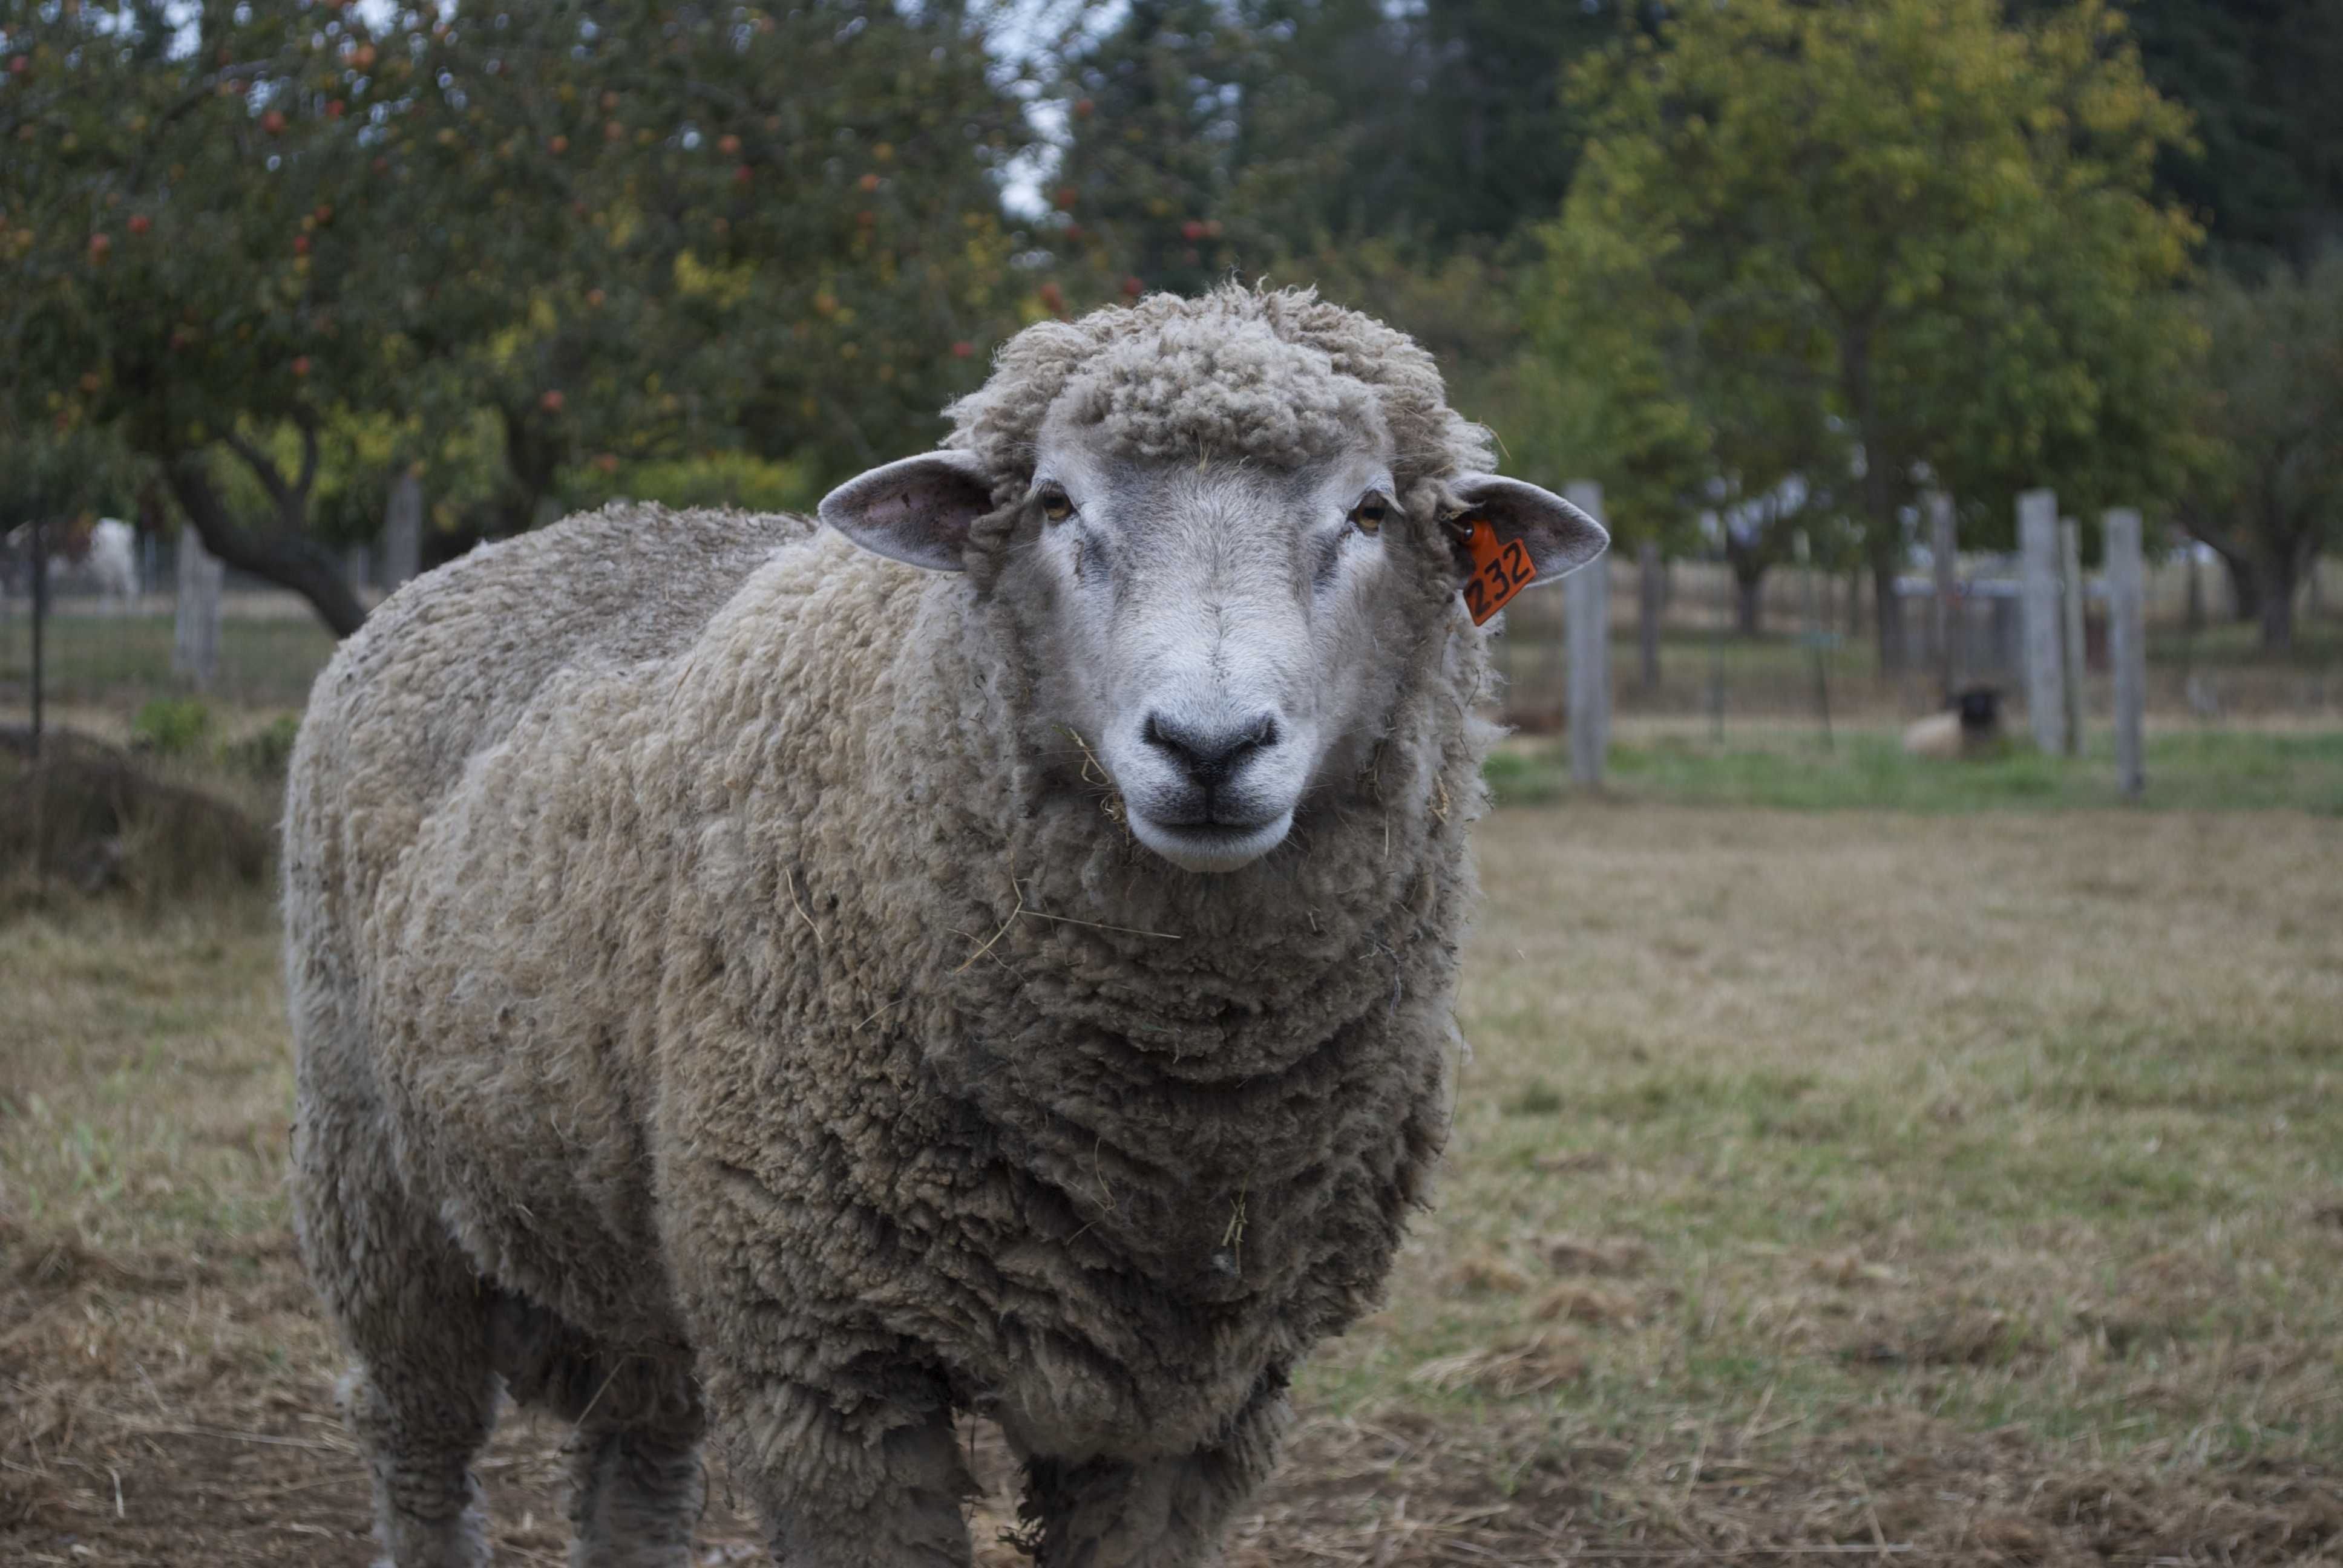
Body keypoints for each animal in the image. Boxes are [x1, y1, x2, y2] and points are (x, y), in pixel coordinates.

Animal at [283, 287, 1611, 1566]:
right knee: (417, 1444)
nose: (1209, 746)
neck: (1173, 1123)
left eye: (1371, 514)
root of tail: (510, 544)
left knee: (635, 1475)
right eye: (1056, 505)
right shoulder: (829, 1369)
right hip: (374, 1185)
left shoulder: (1195, 1406)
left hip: (644, 1241)